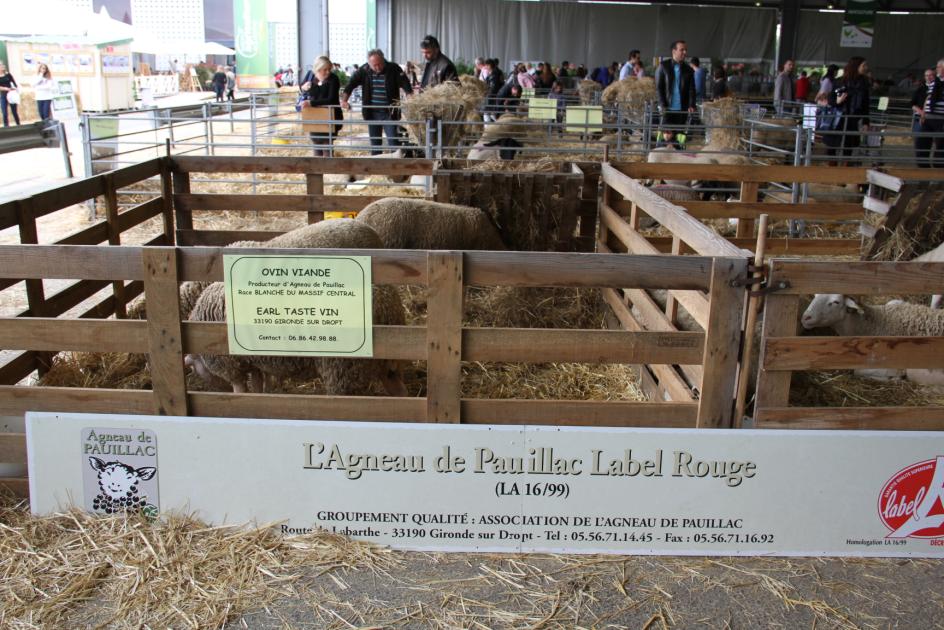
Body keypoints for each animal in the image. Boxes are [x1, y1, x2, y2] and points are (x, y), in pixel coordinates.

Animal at [189, 222, 410, 398]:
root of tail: (390, 310)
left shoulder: (230, 365)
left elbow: (241, 390)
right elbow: (260, 382)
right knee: (400, 393)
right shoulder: (254, 360)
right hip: (387, 362)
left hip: (343, 369)